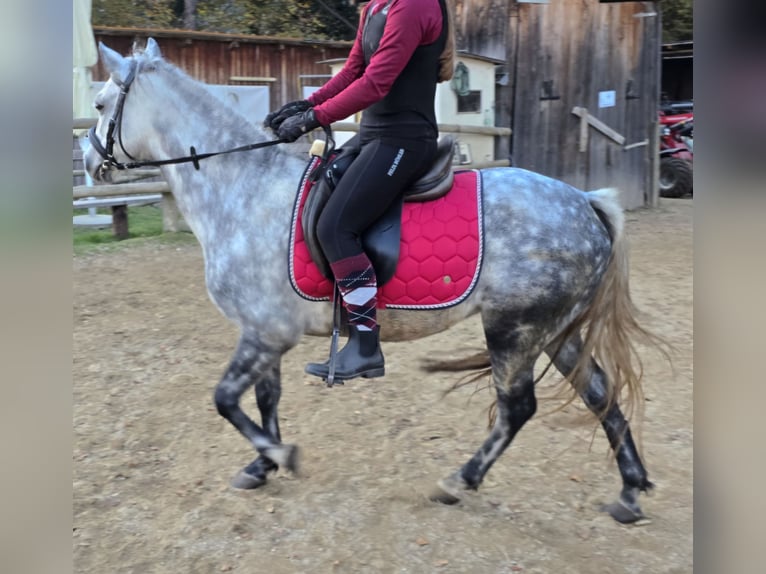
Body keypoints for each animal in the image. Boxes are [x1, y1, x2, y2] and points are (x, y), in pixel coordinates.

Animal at [82, 39, 660, 528]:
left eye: (100, 104)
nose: (89, 163)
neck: (243, 189)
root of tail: (585, 201)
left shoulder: (266, 332)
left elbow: (225, 398)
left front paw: (279, 455)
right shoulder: (264, 330)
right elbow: (266, 396)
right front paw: (260, 466)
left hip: (514, 331)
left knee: (518, 409)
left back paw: (459, 481)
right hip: (554, 332)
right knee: (599, 392)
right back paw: (630, 492)